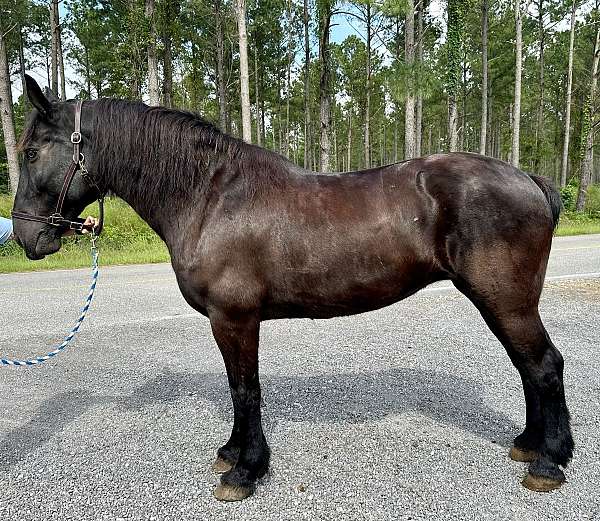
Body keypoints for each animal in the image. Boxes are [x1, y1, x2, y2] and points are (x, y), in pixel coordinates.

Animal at [12, 74, 572, 500]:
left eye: (33, 151)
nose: (25, 236)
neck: (209, 197)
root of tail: (530, 179)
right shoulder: (230, 323)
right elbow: (237, 388)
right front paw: (232, 454)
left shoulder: (234, 319)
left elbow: (246, 389)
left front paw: (245, 471)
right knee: (528, 367)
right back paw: (531, 444)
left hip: (504, 300)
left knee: (543, 365)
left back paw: (548, 463)